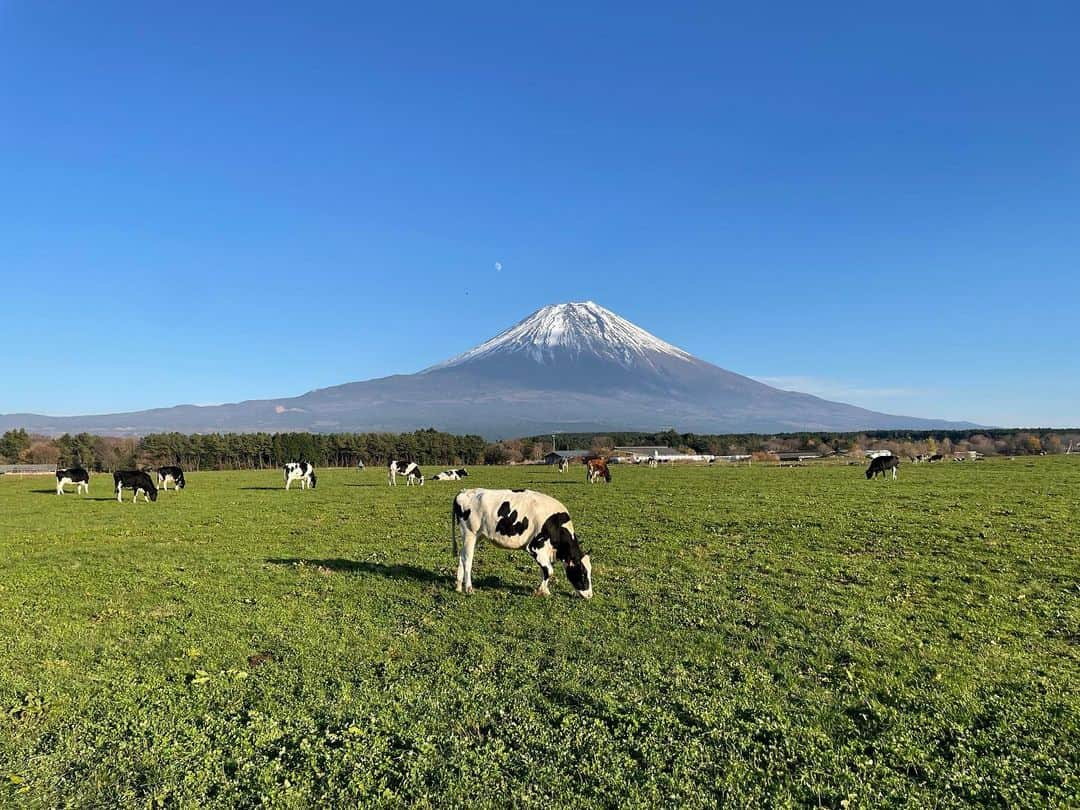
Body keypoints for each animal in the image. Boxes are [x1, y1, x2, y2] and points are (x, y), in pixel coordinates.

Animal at [451, 488, 596, 604]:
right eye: (583, 573)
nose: (590, 595)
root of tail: (464, 492)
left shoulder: (546, 551)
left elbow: (544, 570)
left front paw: (545, 590)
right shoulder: (535, 546)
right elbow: (549, 570)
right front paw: (540, 591)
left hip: (476, 536)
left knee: (462, 557)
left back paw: (458, 586)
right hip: (470, 533)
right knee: (467, 560)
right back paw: (468, 588)